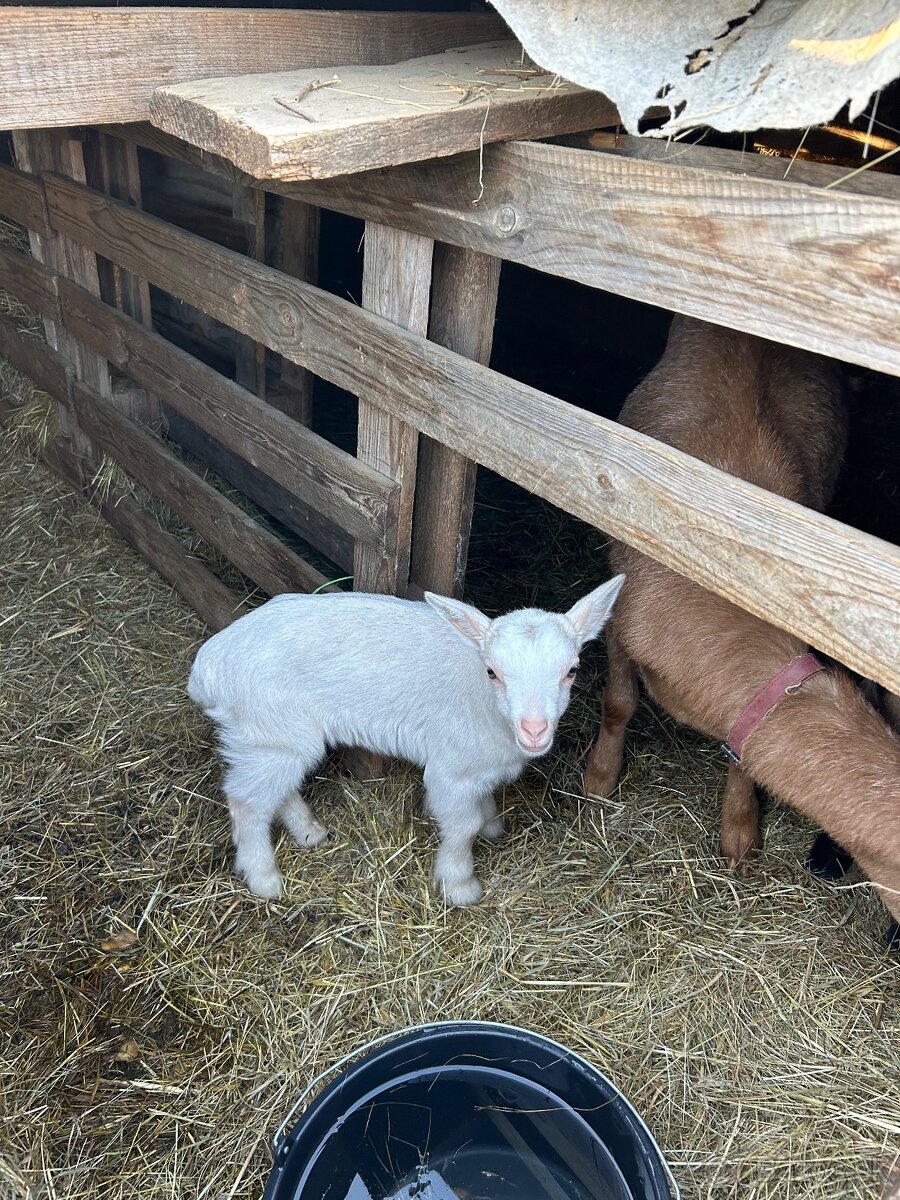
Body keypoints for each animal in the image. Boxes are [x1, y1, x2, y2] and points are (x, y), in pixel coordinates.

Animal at [188, 576, 628, 902]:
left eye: (571, 670)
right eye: (492, 672)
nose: (534, 730)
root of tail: (207, 667)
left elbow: (481, 805)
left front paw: (492, 824)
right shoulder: (451, 770)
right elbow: (462, 825)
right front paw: (459, 885)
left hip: (272, 737)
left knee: (274, 790)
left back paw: (310, 832)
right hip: (269, 729)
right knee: (246, 801)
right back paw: (264, 880)